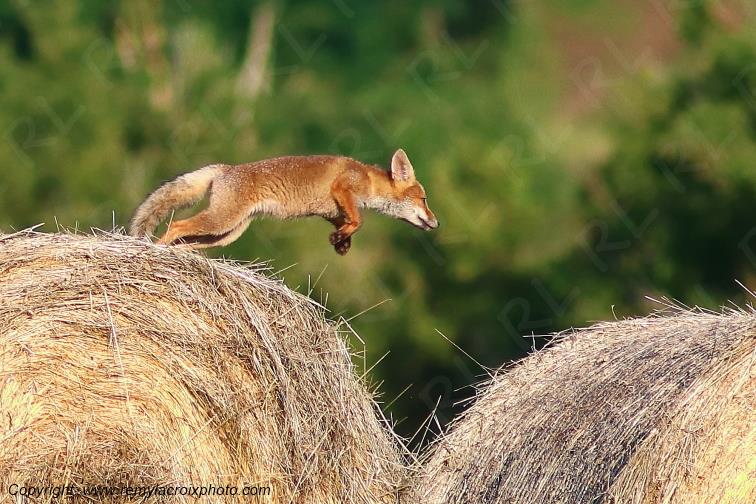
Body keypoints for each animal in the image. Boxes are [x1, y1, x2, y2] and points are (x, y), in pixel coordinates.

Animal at [128, 148, 439, 255]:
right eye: (424, 199)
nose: (436, 223)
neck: (368, 180)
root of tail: (226, 168)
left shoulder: (330, 209)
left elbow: (348, 222)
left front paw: (342, 242)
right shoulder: (343, 188)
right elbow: (359, 220)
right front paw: (343, 237)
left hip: (225, 234)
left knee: (184, 240)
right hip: (220, 221)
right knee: (176, 226)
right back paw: (154, 250)